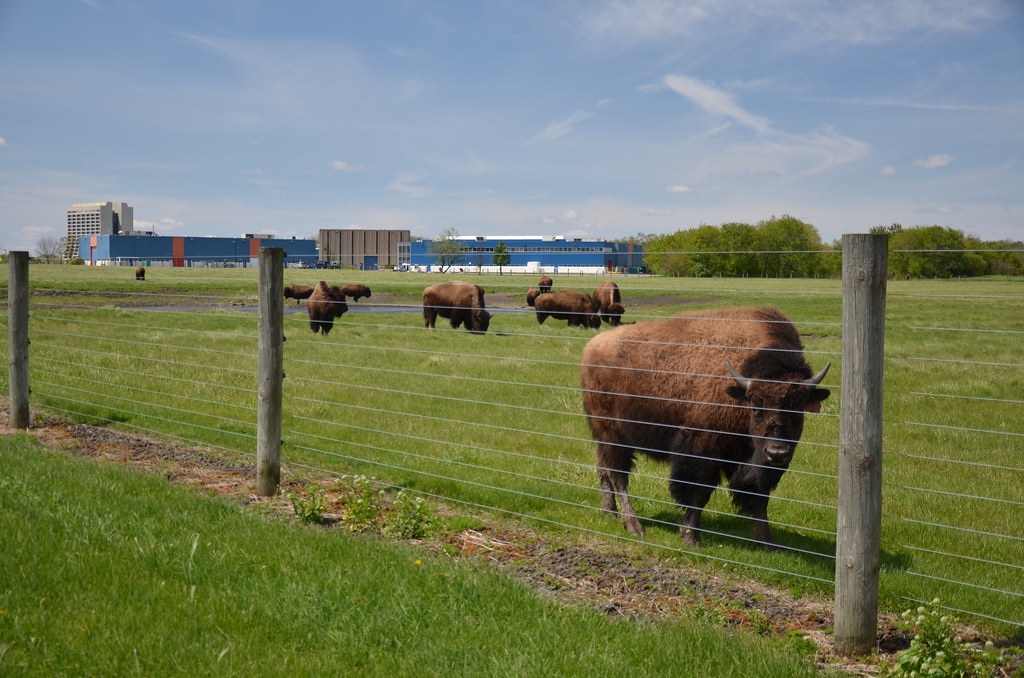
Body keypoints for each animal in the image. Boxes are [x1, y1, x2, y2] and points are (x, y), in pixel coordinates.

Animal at [580, 306, 830, 549]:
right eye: (755, 403)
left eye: (799, 405)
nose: (777, 452)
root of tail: (593, 346)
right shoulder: (702, 451)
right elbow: (698, 494)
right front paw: (691, 538)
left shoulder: (755, 460)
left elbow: (759, 497)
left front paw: (767, 543)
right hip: (613, 434)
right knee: (618, 475)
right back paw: (634, 525)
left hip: (604, 436)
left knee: (603, 468)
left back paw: (609, 511)